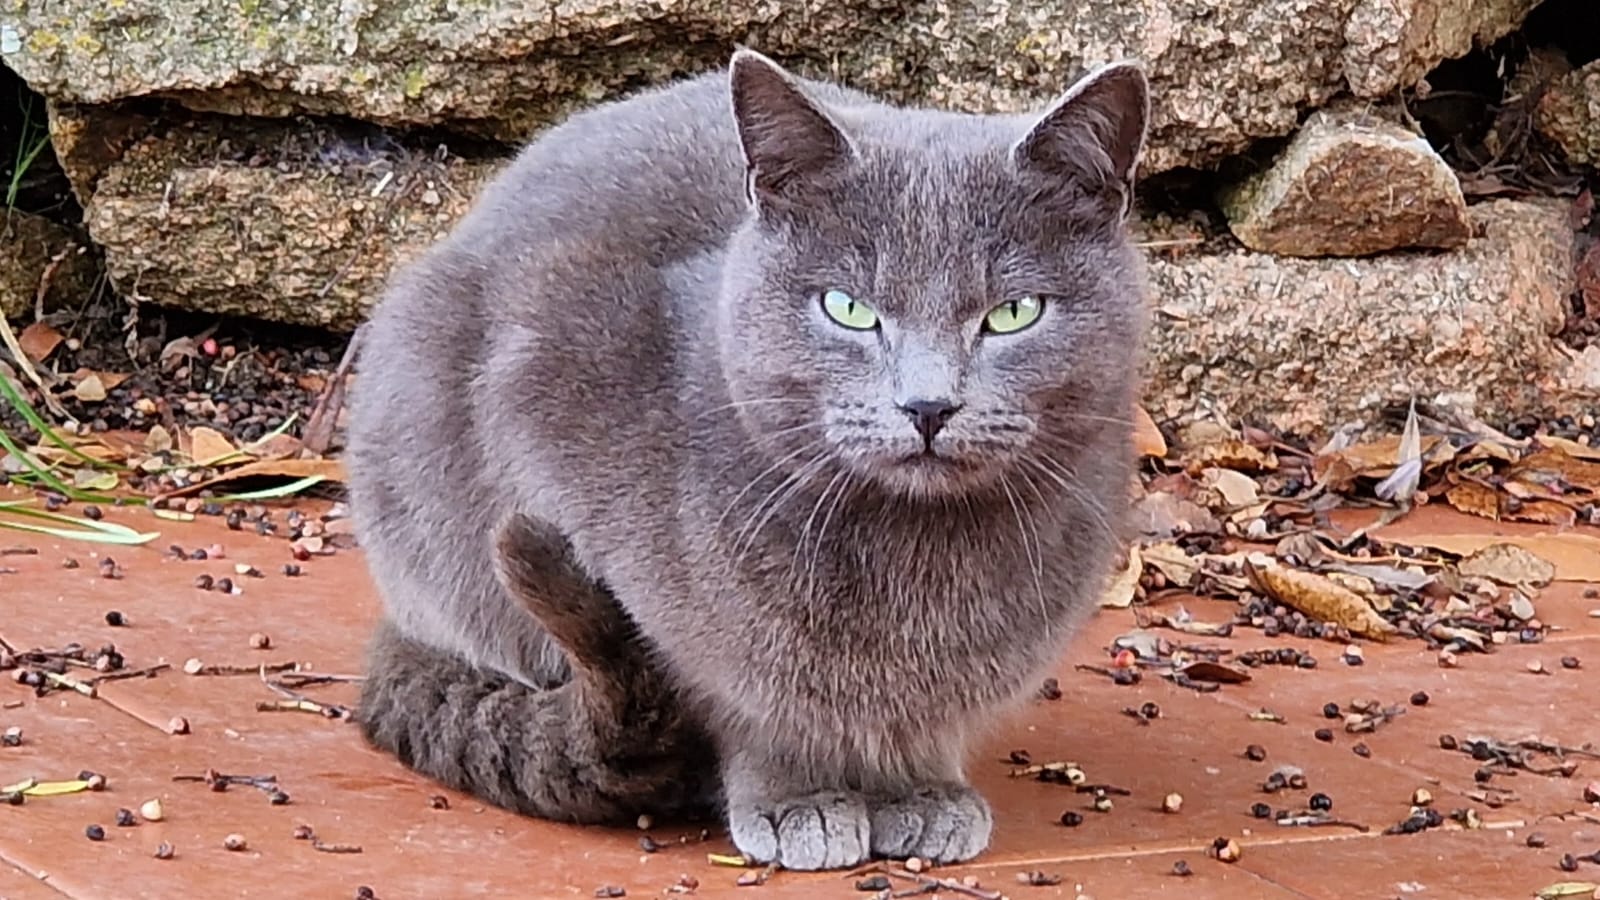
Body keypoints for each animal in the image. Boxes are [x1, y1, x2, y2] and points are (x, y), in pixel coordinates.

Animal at [350, 47, 1152, 871]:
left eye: (1014, 314)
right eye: (849, 309)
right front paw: (799, 798)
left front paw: (919, 791)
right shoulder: (547, 374)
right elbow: (745, 696)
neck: (919, 560)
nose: (928, 406)